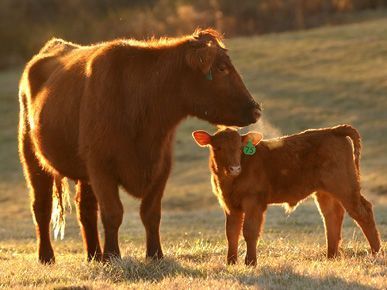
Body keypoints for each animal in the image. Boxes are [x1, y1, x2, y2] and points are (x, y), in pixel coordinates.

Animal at [17, 28, 260, 262]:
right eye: (221, 68)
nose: (256, 109)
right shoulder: (101, 168)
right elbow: (113, 213)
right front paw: (112, 256)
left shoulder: (161, 167)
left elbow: (151, 214)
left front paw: (155, 254)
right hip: (32, 156)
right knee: (41, 207)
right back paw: (47, 256)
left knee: (85, 208)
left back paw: (94, 255)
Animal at [193, 124, 382, 266]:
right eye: (218, 147)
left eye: (240, 148)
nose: (234, 168)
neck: (231, 180)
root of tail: (332, 130)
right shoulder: (230, 205)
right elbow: (231, 232)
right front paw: (231, 262)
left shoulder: (254, 202)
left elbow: (249, 231)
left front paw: (251, 262)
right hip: (325, 192)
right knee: (332, 216)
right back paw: (331, 256)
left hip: (345, 186)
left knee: (362, 212)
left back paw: (376, 253)